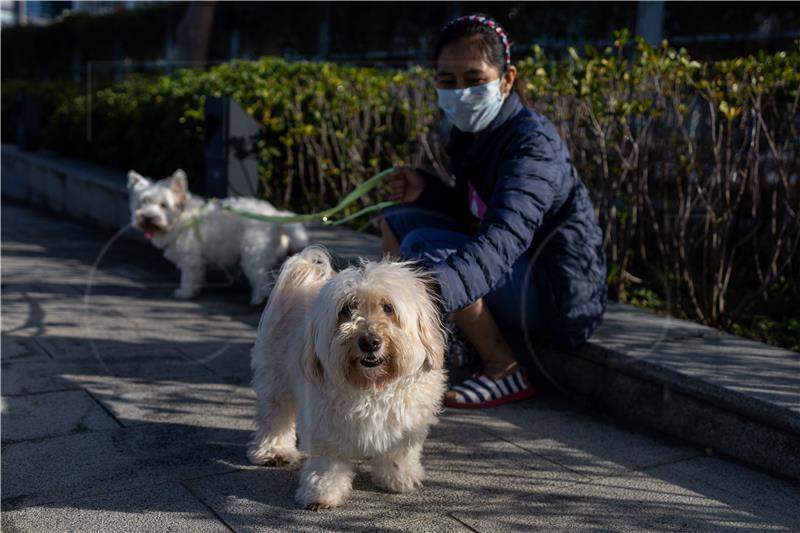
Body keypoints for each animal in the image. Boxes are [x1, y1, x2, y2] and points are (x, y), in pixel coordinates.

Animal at [126, 170, 308, 304]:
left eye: (163, 205)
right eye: (142, 203)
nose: (147, 217)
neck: (181, 218)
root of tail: (274, 214)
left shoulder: (191, 258)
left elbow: (189, 277)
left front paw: (185, 292)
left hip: (253, 253)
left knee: (260, 277)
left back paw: (258, 298)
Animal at [248, 245, 446, 508]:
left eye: (388, 308)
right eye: (347, 309)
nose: (369, 342)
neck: (371, 386)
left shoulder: (406, 424)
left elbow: (399, 453)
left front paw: (399, 478)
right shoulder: (325, 426)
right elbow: (329, 464)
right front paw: (322, 492)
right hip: (276, 378)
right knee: (275, 416)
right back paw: (274, 451)